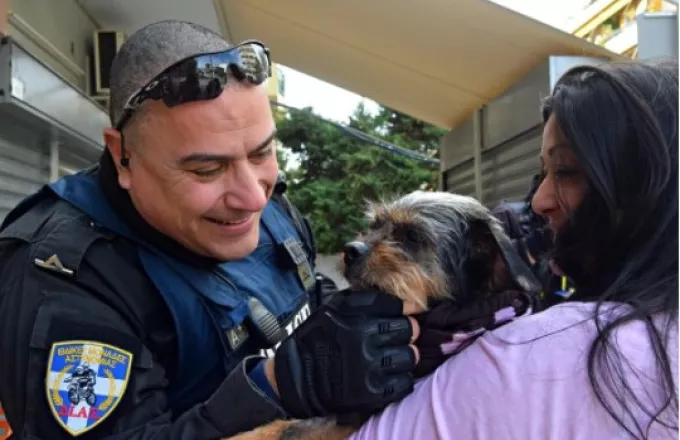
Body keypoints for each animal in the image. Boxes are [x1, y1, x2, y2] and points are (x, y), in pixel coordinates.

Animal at [228, 190, 540, 440]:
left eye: (413, 237)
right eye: (374, 226)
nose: (351, 250)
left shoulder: (349, 419)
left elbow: (294, 429)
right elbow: (283, 425)